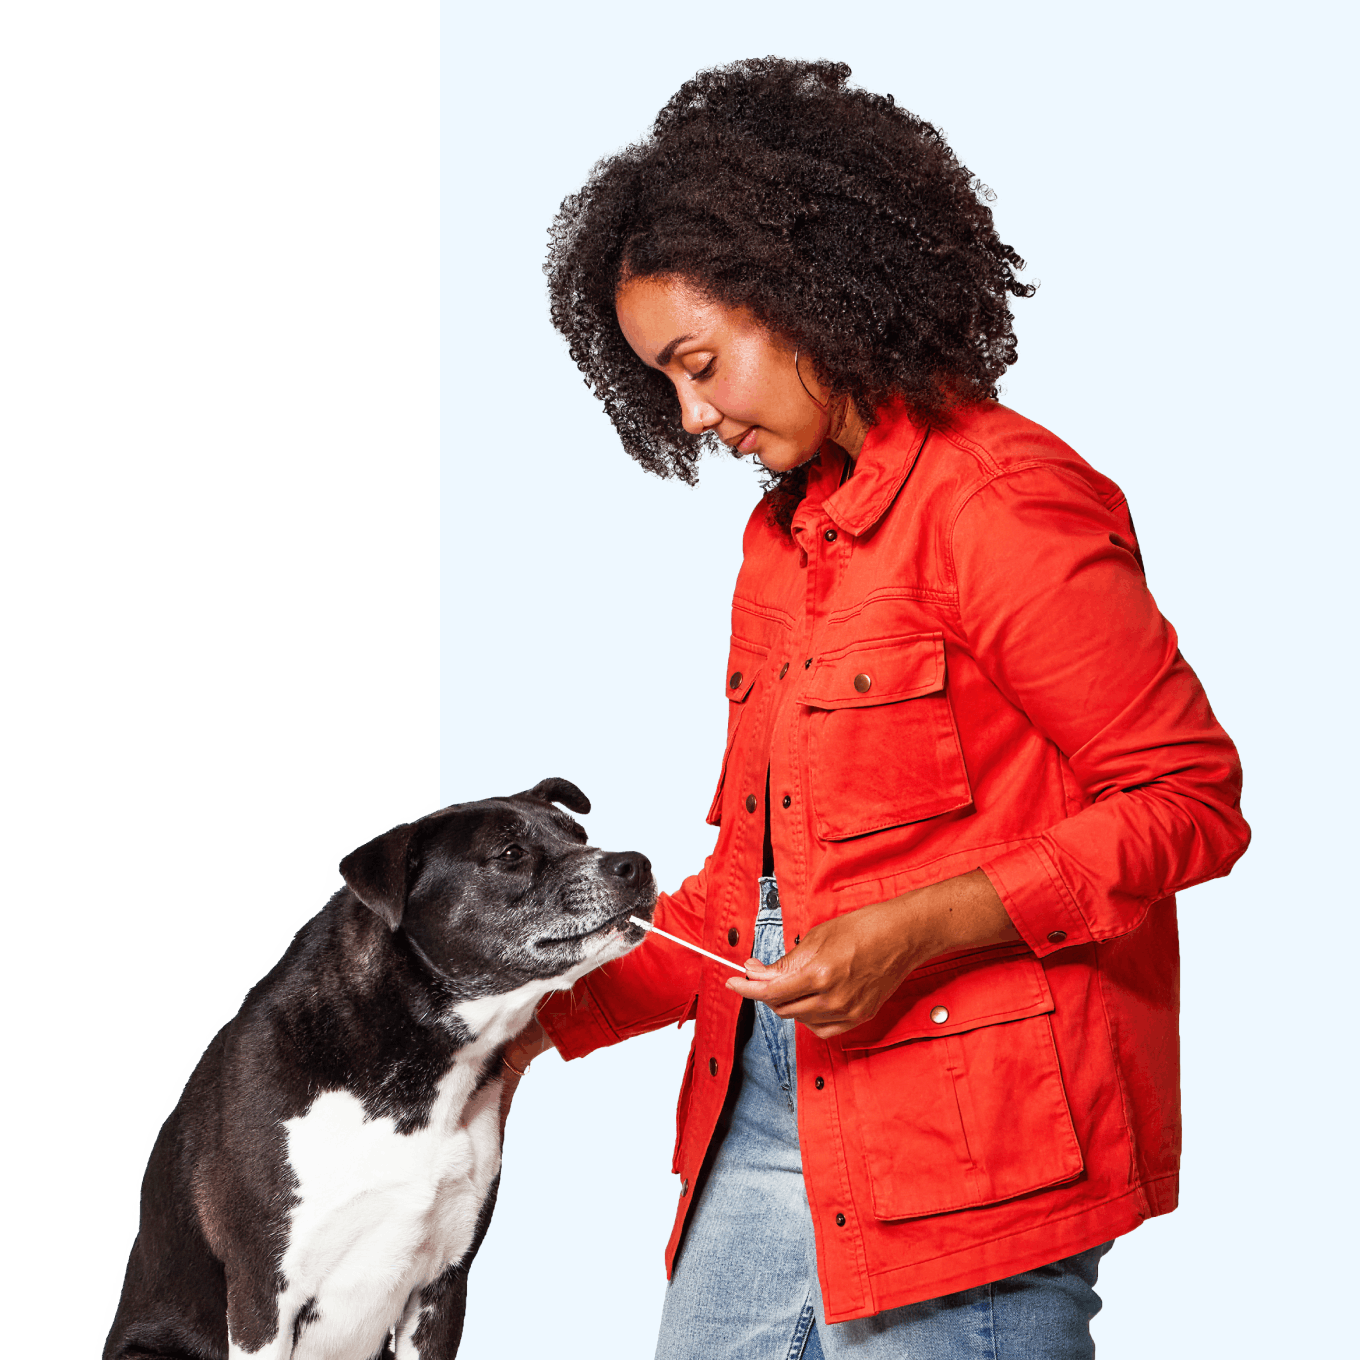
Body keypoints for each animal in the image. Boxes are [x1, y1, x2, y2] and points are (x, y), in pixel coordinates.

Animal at [100, 777, 652, 1360]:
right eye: (509, 854)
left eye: (579, 836)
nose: (635, 864)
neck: (418, 1062)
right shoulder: (263, 1295)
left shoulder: (442, 1288)